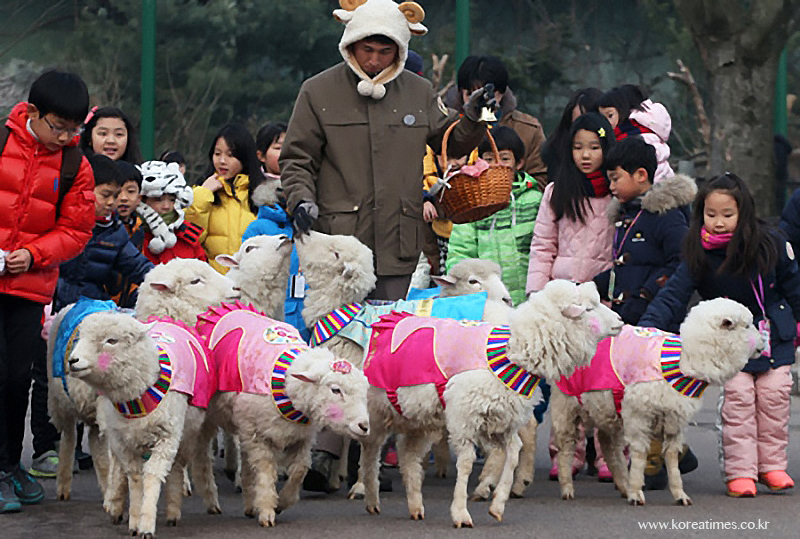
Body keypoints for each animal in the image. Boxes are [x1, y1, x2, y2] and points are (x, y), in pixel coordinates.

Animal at [194, 304, 372, 528]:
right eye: (335, 390)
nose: (364, 426)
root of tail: (220, 310)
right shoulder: (259, 436)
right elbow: (266, 471)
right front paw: (267, 510)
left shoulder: (300, 437)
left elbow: (300, 470)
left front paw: (282, 502)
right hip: (212, 417)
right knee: (202, 456)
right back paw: (211, 500)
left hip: (244, 426)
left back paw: (249, 504)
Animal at [358, 278, 624, 528]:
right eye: (588, 308)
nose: (620, 321)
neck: (512, 352)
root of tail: (387, 319)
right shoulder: (465, 417)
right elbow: (466, 464)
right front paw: (460, 512)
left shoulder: (501, 418)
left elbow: (513, 455)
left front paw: (497, 504)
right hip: (374, 411)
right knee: (370, 451)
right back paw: (369, 496)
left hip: (419, 419)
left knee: (409, 457)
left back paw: (415, 505)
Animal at [552, 300, 764, 506]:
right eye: (746, 326)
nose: (763, 344)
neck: (685, 361)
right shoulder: (639, 414)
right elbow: (639, 454)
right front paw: (636, 492)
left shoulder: (674, 419)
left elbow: (671, 457)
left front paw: (679, 494)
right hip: (566, 404)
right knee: (566, 447)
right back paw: (567, 487)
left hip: (607, 409)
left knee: (609, 446)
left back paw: (622, 485)